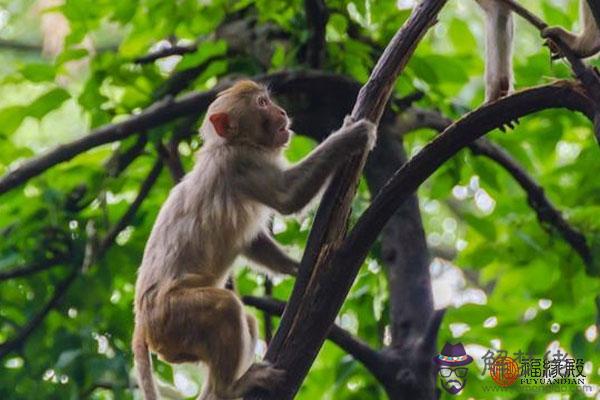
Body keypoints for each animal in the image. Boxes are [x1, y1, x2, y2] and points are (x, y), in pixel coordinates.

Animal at [132, 79, 376, 400]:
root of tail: (141, 325)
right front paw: (350, 135)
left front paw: (299, 268)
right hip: (171, 316)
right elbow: (288, 196)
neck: (231, 144)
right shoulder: (242, 164)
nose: (282, 111)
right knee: (227, 309)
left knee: (243, 321)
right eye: (262, 104)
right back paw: (230, 387)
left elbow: (252, 242)